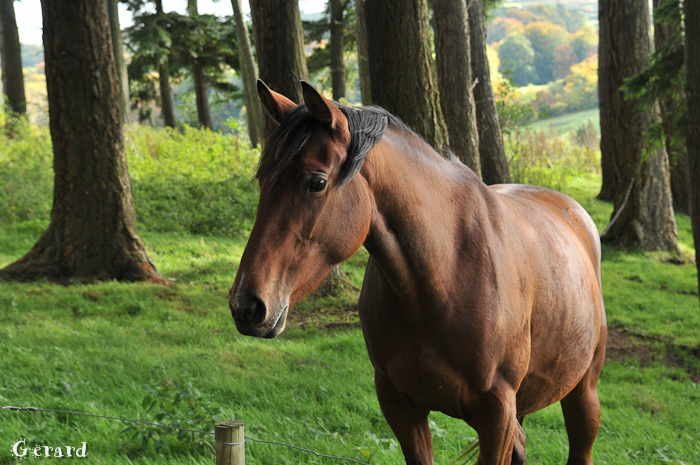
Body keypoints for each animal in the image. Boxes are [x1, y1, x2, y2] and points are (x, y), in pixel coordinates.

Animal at [229, 80, 607, 465]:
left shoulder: (497, 413)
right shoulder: (401, 407)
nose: (246, 305)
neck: (442, 277)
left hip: (583, 391)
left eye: (316, 182)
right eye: (262, 180)